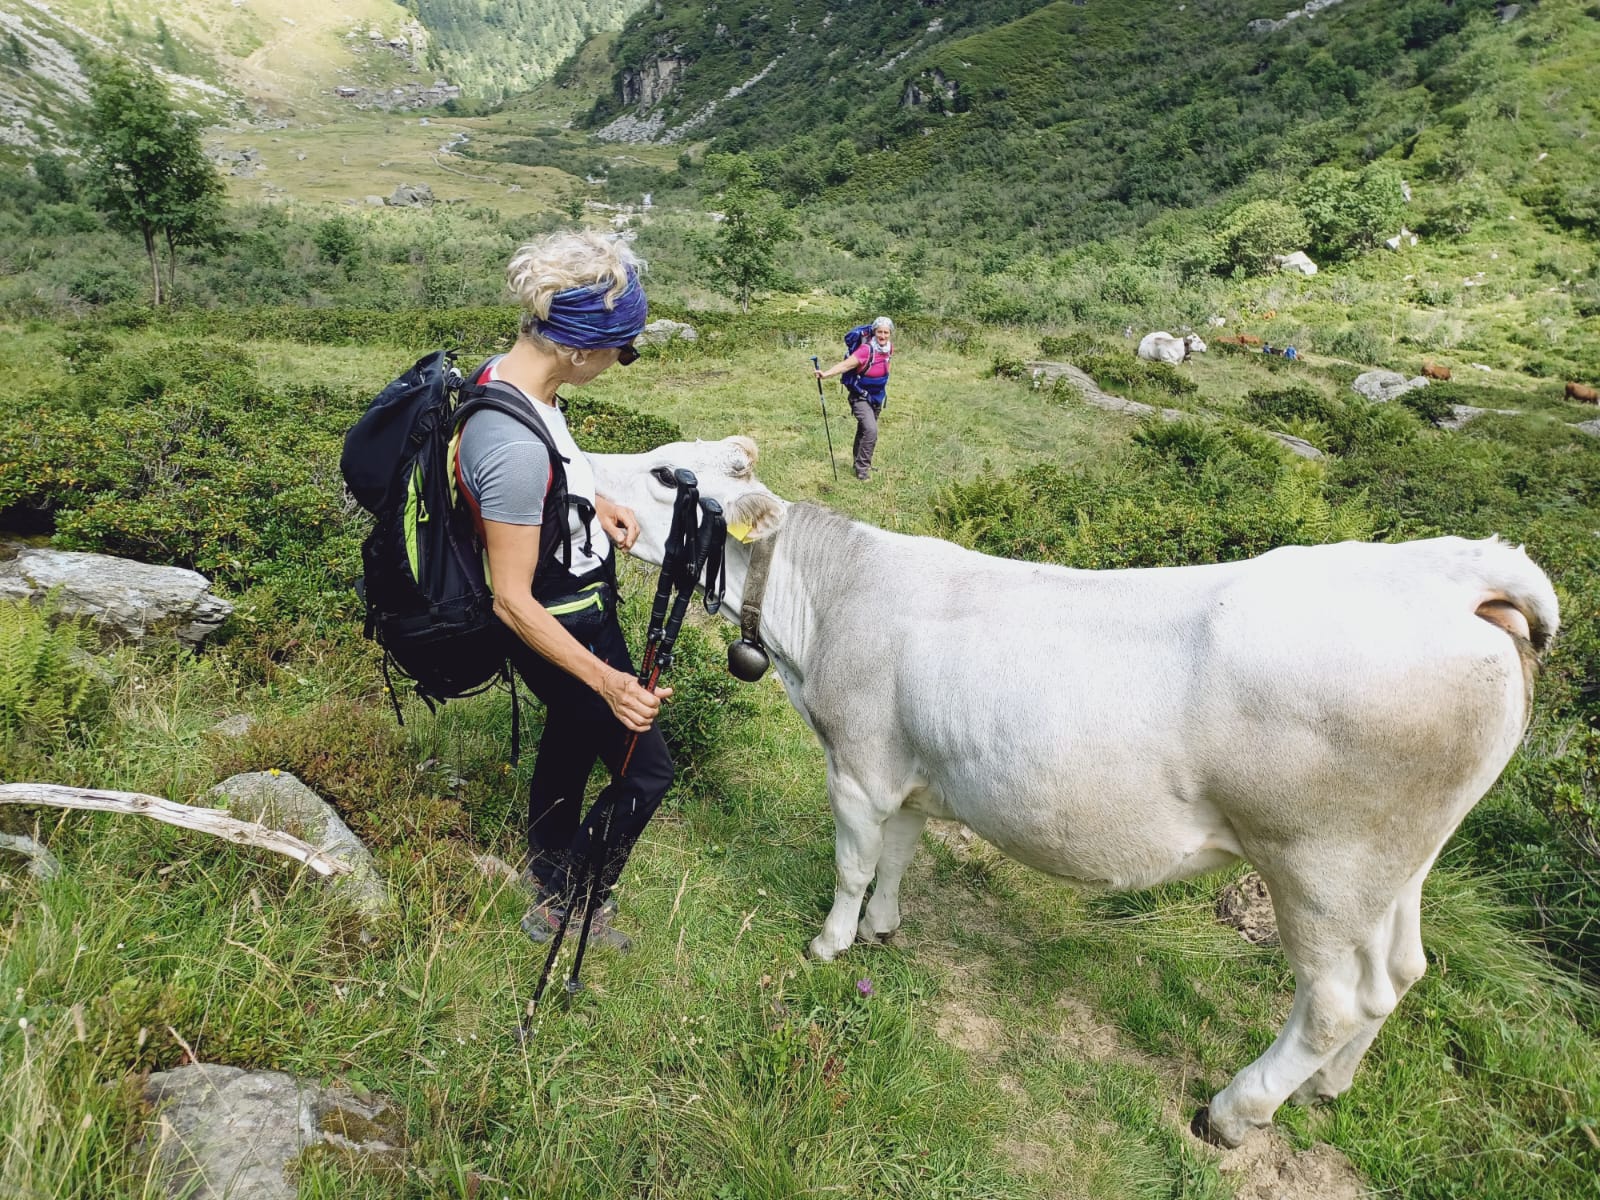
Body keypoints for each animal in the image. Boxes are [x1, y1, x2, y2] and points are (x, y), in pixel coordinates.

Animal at [595, 438, 1555, 1152]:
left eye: (666, 474)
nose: (579, 470)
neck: (825, 608)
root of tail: (1453, 575)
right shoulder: (916, 768)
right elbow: (902, 856)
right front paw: (883, 932)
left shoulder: (859, 765)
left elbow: (854, 866)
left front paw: (831, 944)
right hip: (1397, 869)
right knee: (1399, 974)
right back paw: (1331, 1087)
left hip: (1323, 867)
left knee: (1333, 1001)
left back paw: (1235, 1111)